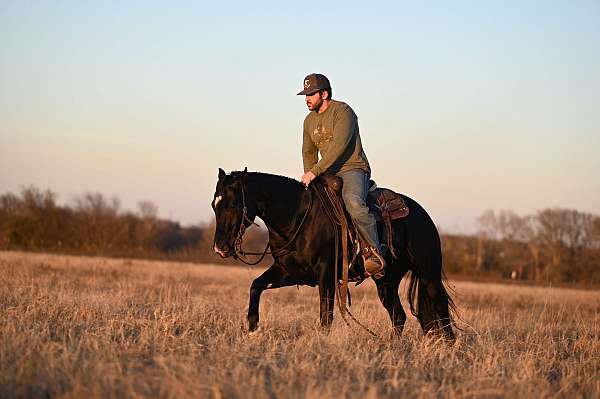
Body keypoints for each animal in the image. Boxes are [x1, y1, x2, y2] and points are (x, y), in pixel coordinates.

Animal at [213, 169, 458, 340]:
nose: (220, 248)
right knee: (398, 315)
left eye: (233, 204)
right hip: (386, 281)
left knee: (440, 307)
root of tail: (421, 213)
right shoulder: (289, 271)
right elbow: (256, 286)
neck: (298, 216)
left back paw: (449, 347)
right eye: (215, 205)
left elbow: (326, 315)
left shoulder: (326, 273)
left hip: (428, 274)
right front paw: (252, 329)